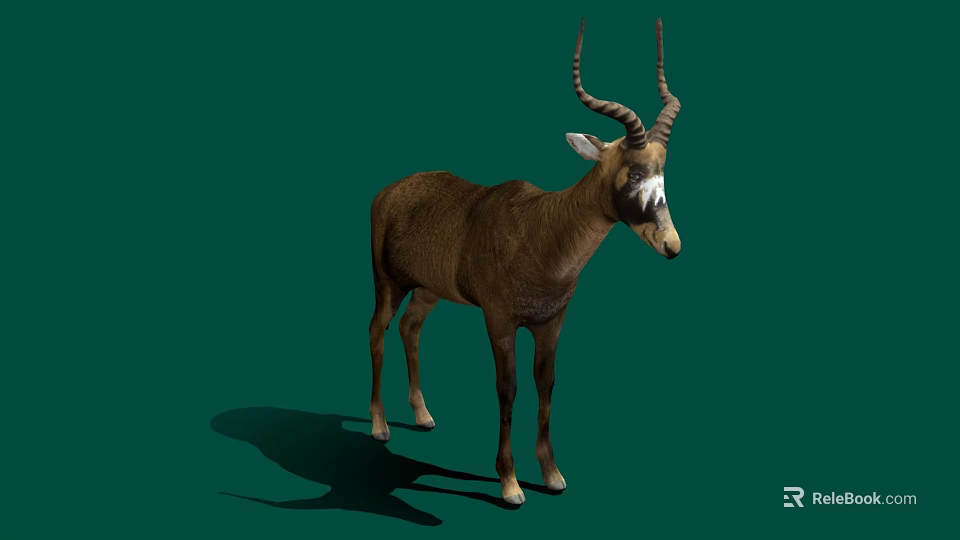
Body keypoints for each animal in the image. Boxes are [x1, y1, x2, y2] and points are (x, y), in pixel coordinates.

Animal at [367, 19, 683, 505]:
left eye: (662, 172)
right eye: (633, 171)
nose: (672, 244)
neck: (541, 230)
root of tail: (387, 192)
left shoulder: (551, 322)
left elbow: (546, 384)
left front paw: (552, 475)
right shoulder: (500, 321)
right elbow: (508, 388)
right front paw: (510, 484)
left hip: (429, 290)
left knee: (410, 327)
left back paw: (423, 416)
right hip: (388, 284)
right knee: (377, 331)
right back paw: (380, 427)